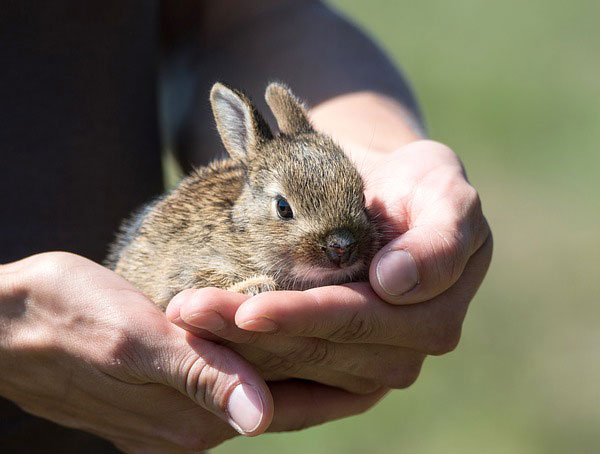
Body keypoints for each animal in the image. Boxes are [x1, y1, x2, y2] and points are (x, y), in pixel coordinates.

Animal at [106, 82, 380, 308]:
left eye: (362, 197)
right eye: (283, 208)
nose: (342, 247)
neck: (246, 235)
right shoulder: (185, 271)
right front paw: (257, 286)